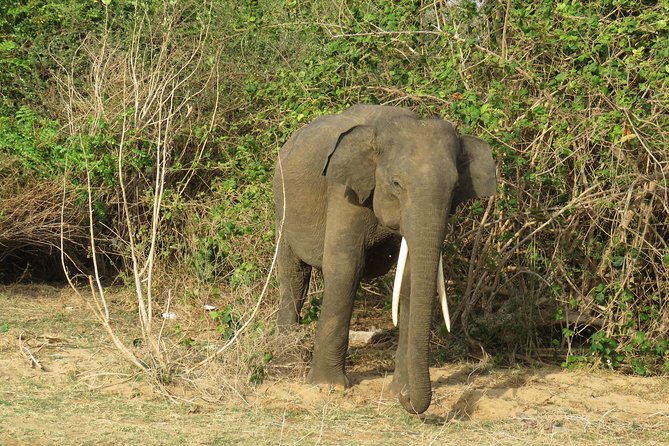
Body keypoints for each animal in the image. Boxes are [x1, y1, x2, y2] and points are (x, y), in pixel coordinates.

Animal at [272, 104, 496, 414]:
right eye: (396, 183)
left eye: (454, 188)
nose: (407, 400)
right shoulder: (345, 191)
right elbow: (345, 266)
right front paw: (328, 387)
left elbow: (411, 279)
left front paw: (397, 391)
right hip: (282, 204)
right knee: (293, 276)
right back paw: (287, 363)